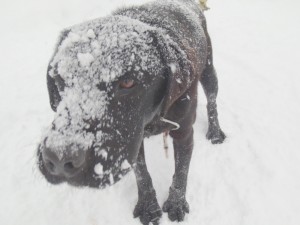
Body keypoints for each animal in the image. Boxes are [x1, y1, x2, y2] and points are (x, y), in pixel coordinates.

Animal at [37, 0, 225, 224]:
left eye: (127, 82)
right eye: (59, 78)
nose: (58, 158)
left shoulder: (184, 132)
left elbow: (181, 171)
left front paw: (176, 202)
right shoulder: (133, 142)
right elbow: (142, 174)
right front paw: (148, 206)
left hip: (209, 72)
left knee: (212, 102)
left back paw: (215, 132)